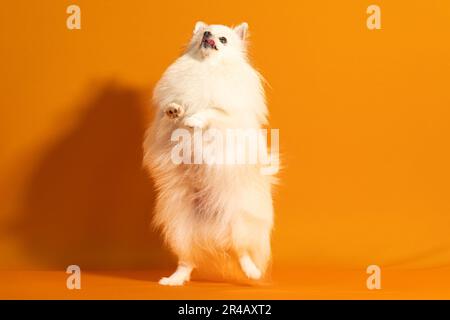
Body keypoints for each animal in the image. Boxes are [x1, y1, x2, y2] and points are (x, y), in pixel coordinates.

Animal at [144, 21, 274, 284]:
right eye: (205, 33)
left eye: (223, 39)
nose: (207, 35)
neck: (207, 68)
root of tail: (213, 230)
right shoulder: (166, 120)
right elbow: (172, 110)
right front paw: (175, 110)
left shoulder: (228, 114)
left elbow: (211, 111)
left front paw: (194, 119)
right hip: (180, 229)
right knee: (187, 261)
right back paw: (174, 280)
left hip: (238, 222)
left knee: (242, 251)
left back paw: (253, 273)